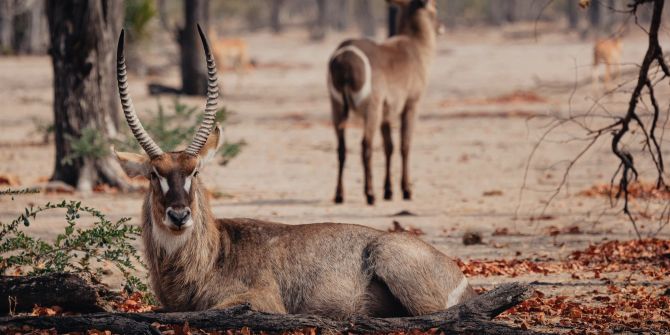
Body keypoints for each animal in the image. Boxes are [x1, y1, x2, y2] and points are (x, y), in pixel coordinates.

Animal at [114, 25, 478, 318]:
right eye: (153, 174)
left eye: (196, 172)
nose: (179, 216)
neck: (216, 253)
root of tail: (460, 277)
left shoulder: (260, 300)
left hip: (390, 259)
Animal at [326, 0, 440, 206]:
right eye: (435, 6)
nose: (441, 27)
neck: (415, 46)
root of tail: (345, 56)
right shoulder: (411, 104)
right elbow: (405, 144)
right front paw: (406, 190)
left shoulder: (386, 113)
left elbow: (389, 147)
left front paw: (388, 191)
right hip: (372, 107)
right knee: (366, 145)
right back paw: (370, 194)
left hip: (336, 107)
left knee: (341, 148)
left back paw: (339, 195)